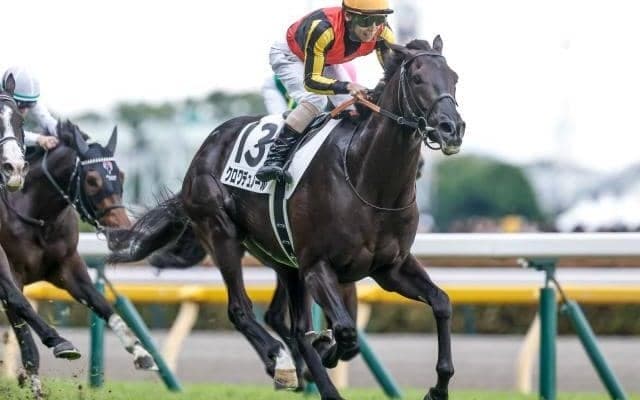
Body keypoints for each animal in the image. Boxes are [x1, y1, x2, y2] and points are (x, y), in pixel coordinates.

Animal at [0, 120, 157, 398]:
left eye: (122, 176)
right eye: (92, 180)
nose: (122, 232)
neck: (37, 216)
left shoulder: (67, 268)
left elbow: (102, 304)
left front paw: (141, 352)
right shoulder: (12, 275)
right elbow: (25, 332)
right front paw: (39, 384)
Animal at [109, 37, 464, 400]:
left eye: (454, 78)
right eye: (418, 78)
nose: (452, 128)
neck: (368, 180)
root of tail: (202, 152)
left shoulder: (390, 268)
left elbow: (441, 302)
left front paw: (438, 388)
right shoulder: (317, 266)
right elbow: (344, 331)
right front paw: (322, 351)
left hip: (283, 260)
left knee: (289, 323)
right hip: (222, 234)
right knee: (243, 311)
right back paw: (282, 362)